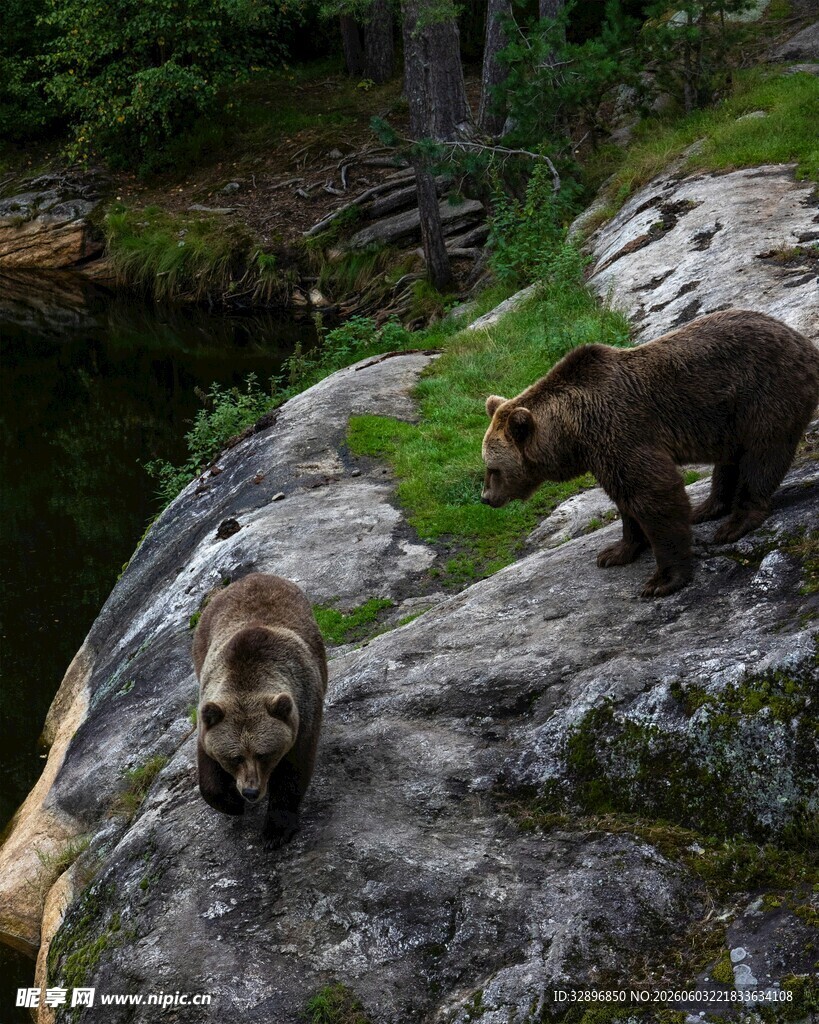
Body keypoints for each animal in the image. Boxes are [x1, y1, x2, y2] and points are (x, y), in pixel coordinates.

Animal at [192, 572, 328, 849]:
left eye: (264, 754)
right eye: (234, 757)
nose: (250, 791)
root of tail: (253, 576)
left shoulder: (303, 714)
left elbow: (293, 772)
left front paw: (276, 830)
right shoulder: (208, 714)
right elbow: (208, 770)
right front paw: (231, 803)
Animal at [481, 309, 819, 598]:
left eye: (493, 468)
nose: (486, 498)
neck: (573, 432)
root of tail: (803, 341)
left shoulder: (619, 432)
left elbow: (654, 493)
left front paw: (662, 580)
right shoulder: (603, 451)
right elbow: (625, 499)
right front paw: (616, 551)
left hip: (765, 392)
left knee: (762, 456)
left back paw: (735, 522)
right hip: (731, 417)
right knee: (730, 460)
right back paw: (707, 508)